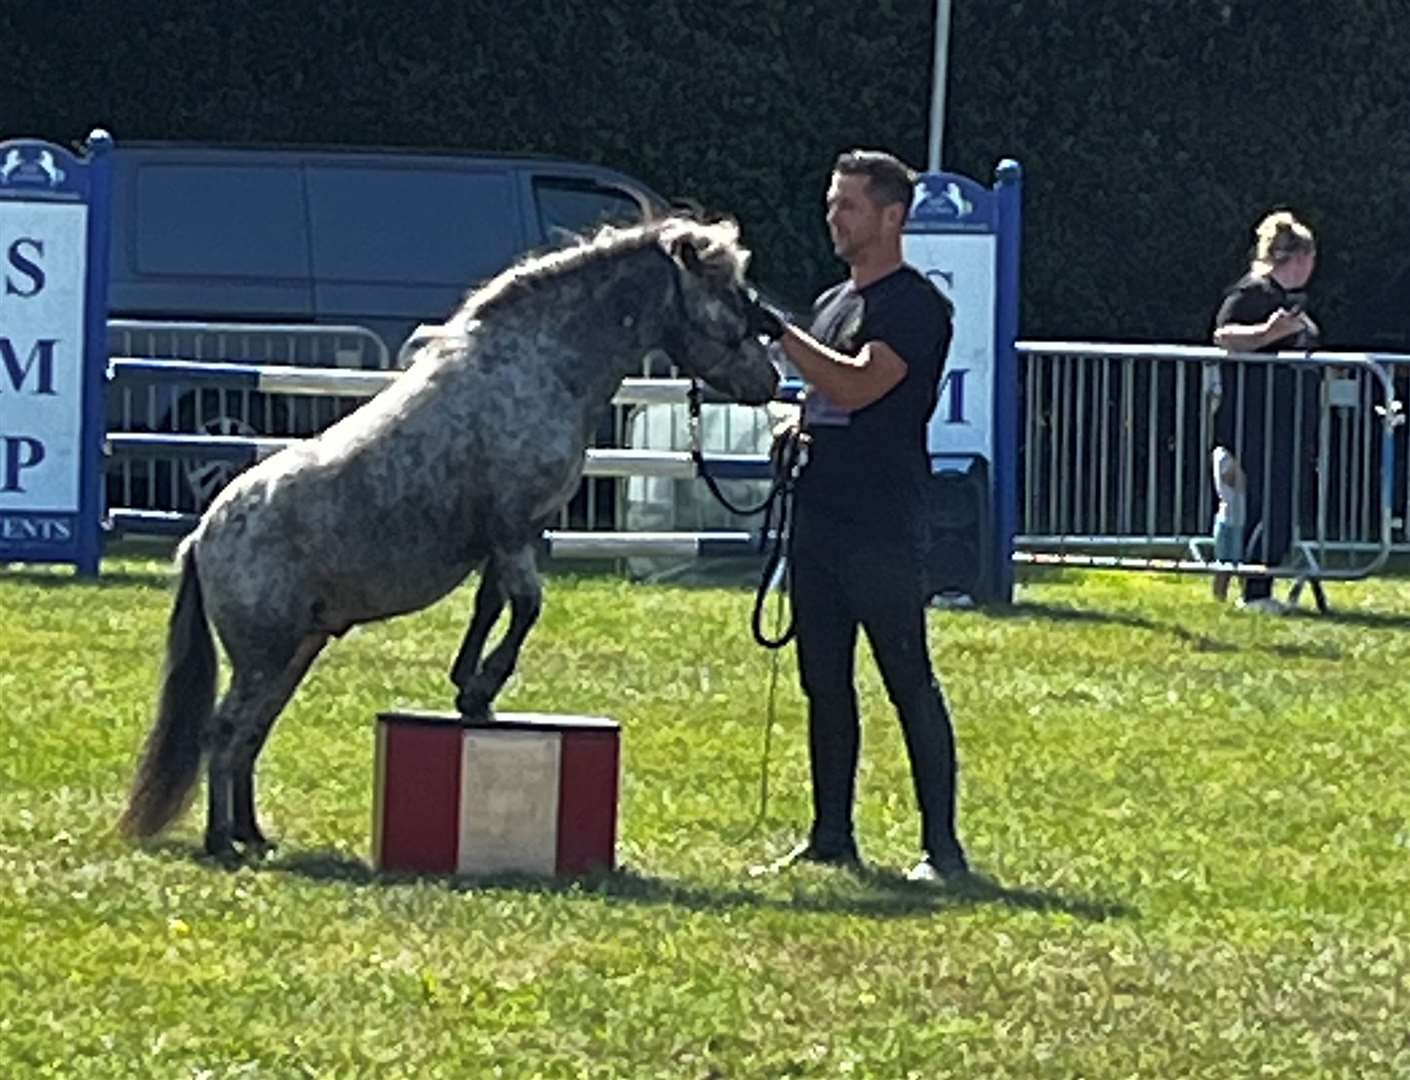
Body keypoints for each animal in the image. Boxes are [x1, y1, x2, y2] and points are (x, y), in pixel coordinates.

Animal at [118, 217, 783, 862]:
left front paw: (470, 691)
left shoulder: (512, 538)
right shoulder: (513, 530)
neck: (540, 365)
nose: (772, 376)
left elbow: (492, 605)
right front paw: (482, 685)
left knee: (250, 736)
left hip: (295, 651)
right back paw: (220, 841)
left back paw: (253, 835)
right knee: (224, 732)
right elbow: (525, 607)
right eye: (727, 289)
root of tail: (202, 537)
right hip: (265, 655)